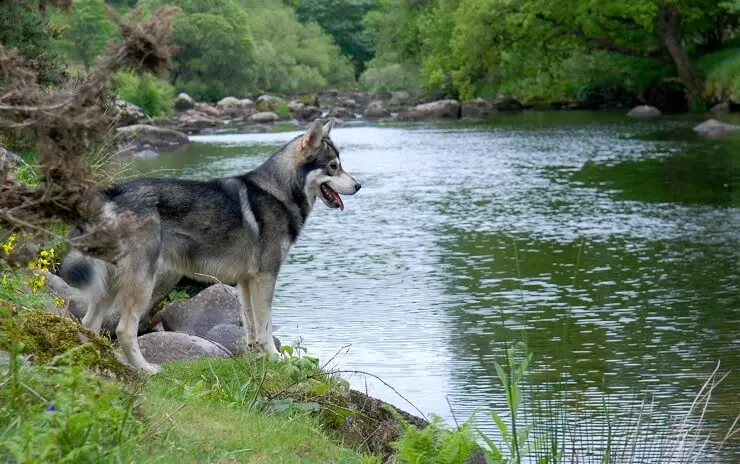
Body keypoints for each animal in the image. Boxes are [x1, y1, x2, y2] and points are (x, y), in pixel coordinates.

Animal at [59, 118, 360, 374]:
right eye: (333, 166)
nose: (358, 186)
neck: (278, 192)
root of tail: (112, 193)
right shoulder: (266, 277)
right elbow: (265, 327)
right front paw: (276, 361)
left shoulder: (246, 282)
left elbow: (251, 327)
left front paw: (256, 360)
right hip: (142, 283)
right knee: (123, 330)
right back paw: (145, 369)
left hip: (108, 286)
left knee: (89, 323)